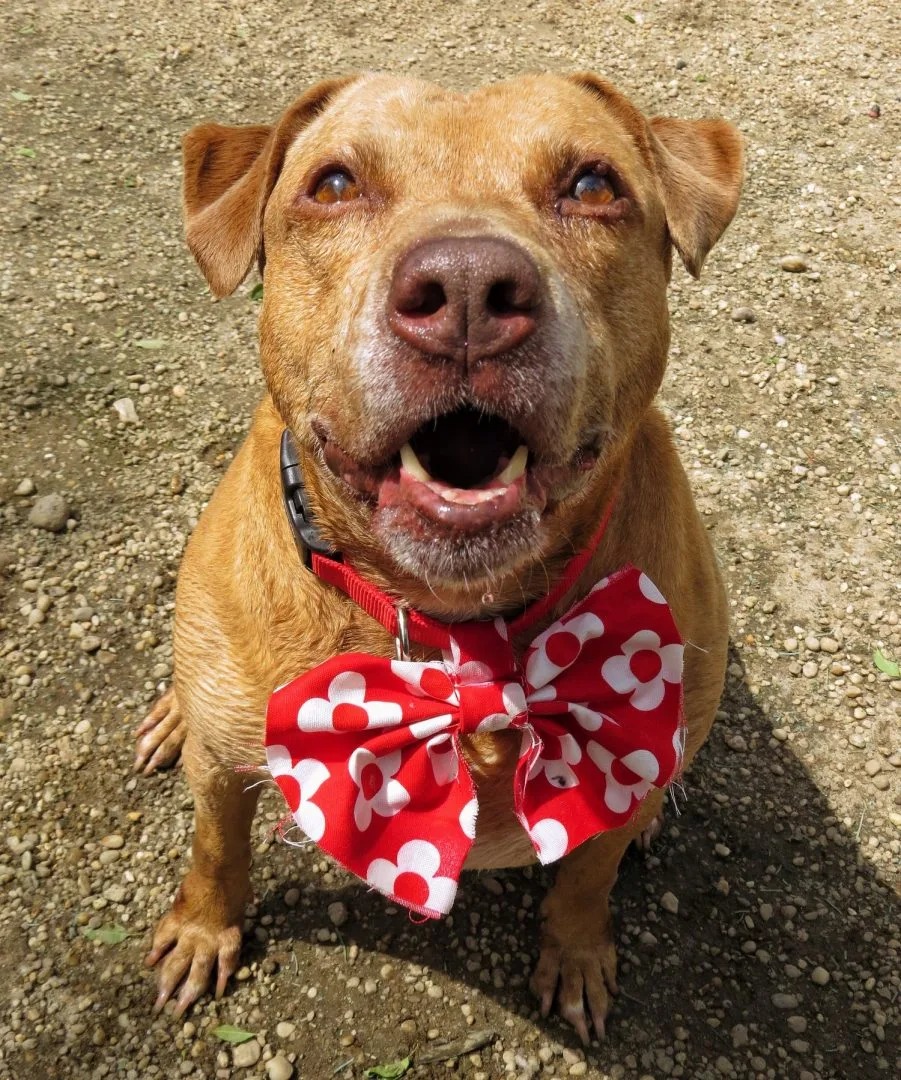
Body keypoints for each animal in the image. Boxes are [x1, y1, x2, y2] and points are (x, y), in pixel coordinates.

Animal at [133, 71, 738, 1041]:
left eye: (592, 184)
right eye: (334, 185)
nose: (466, 287)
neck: (461, 630)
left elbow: (587, 876)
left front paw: (576, 954)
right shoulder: (225, 774)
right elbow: (216, 846)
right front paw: (201, 930)